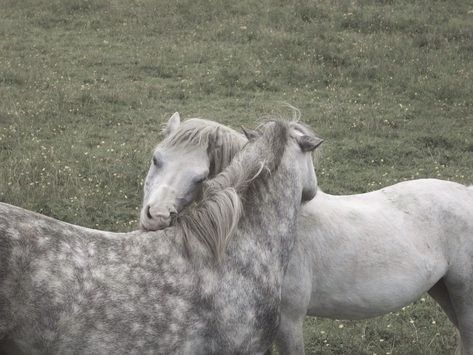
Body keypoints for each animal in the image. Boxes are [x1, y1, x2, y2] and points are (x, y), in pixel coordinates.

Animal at [142, 113, 472, 355]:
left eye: (200, 177)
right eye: (156, 159)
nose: (155, 216)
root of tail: (467, 192)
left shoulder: (287, 322)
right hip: (444, 291)